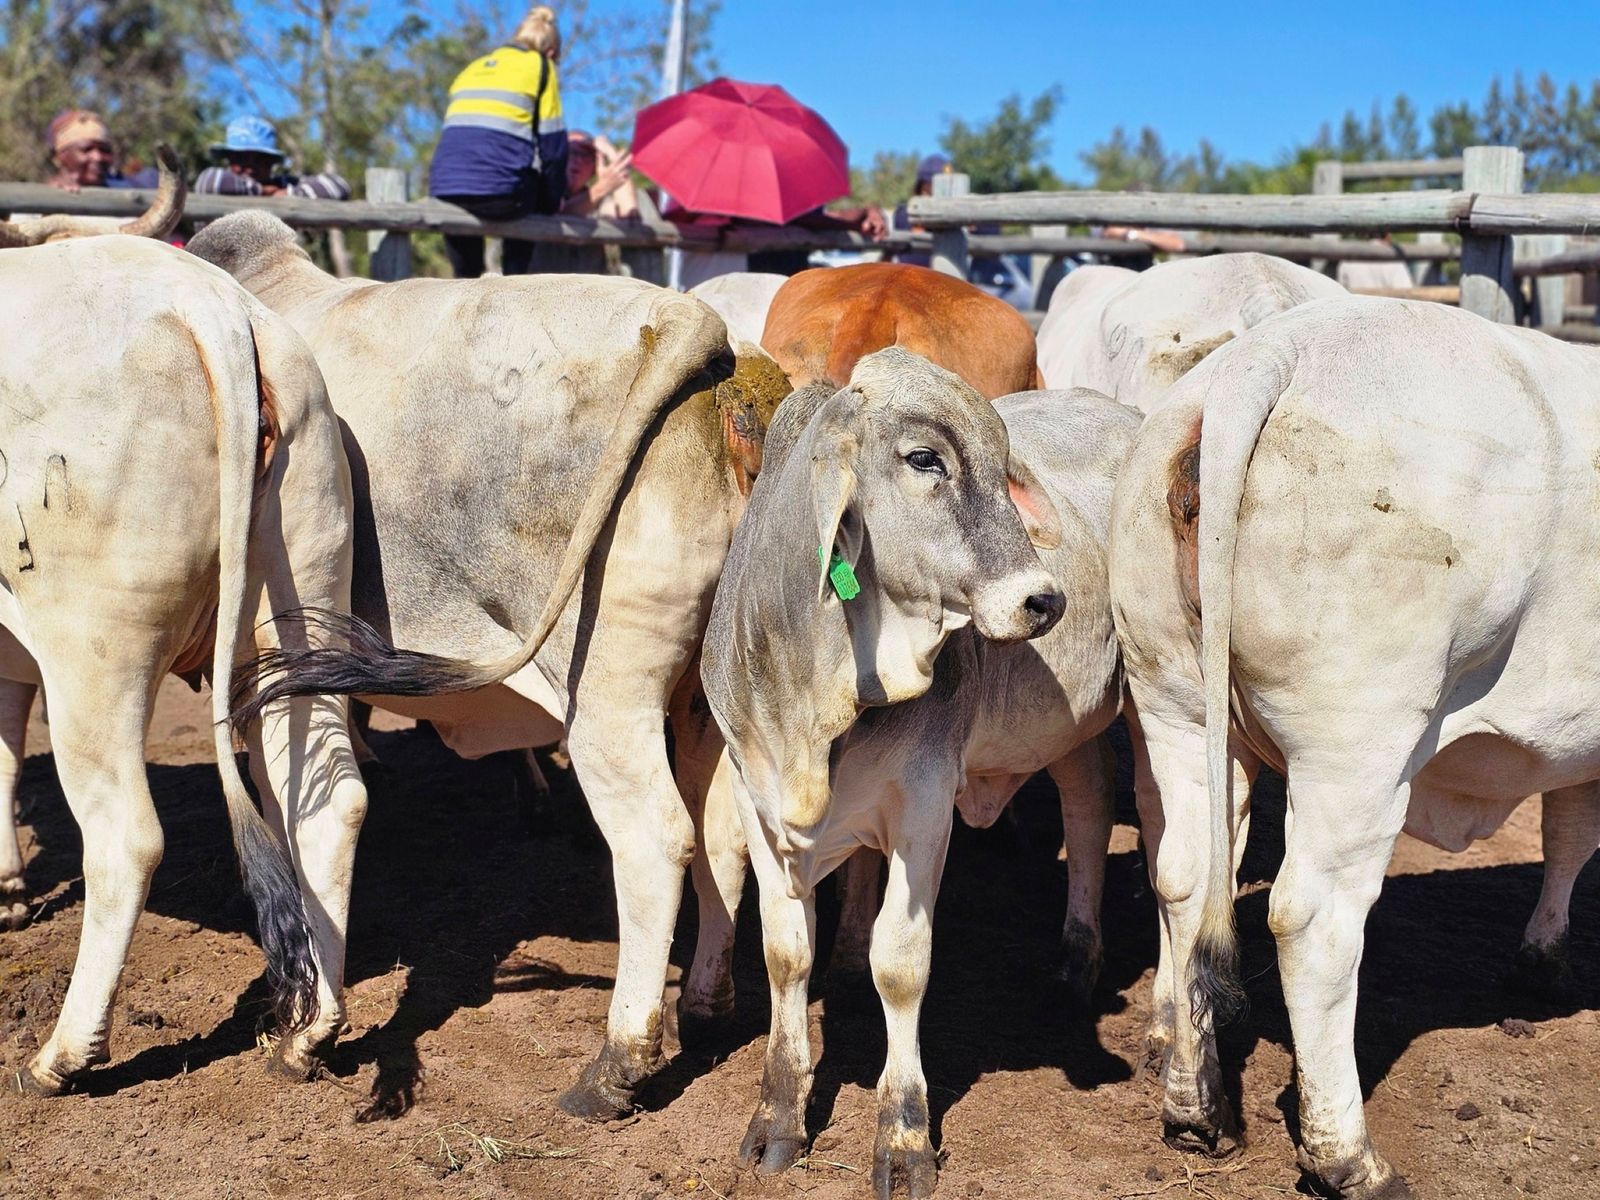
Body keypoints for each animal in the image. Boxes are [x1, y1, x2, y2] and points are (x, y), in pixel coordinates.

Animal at [0, 232, 366, 1093]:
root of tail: (210, 303)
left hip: (94, 650)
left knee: (127, 836)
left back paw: (62, 1057)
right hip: (297, 612)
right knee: (329, 802)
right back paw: (308, 1035)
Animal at [190, 210, 792, 1119]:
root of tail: (694, 328)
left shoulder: (259, 666)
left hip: (605, 694)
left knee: (656, 840)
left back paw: (615, 1067)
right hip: (703, 696)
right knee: (722, 831)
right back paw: (705, 1008)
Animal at [701, 349, 1143, 1197]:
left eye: (1003, 466)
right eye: (924, 459)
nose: (1043, 600)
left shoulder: (924, 806)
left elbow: (899, 965)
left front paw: (903, 1136)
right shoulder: (754, 794)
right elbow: (785, 955)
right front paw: (777, 1117)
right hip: (1072, 730)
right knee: (1089, 808)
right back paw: (1075, 963)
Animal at [1110, 295, 1600, 1199]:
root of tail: (1273, 350)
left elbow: (1569, 831)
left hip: (1177, 706)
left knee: (1186, 880)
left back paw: (1198, 1111)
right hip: (1361, 743)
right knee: (1313, 920)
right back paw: (1348, 1158)